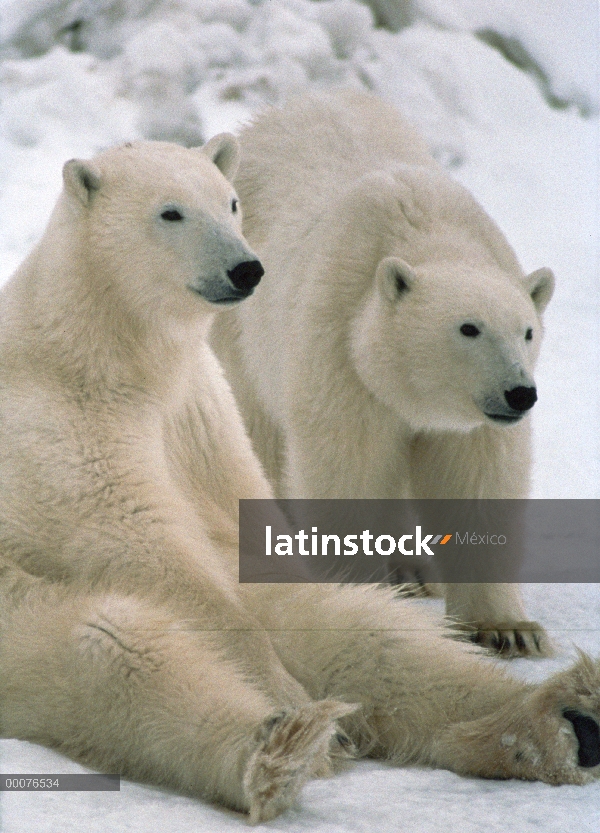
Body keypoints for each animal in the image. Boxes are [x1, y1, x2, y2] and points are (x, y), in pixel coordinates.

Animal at [212, 88, 556, 652]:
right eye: (468, 328)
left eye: (527, 331)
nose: (519, 393)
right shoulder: (341, 349)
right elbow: (346, 465)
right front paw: (356, 601)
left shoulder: (471, 423)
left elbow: (477, 482)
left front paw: (507, 630)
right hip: (242, 337)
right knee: (258, 437)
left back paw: (410, 571)